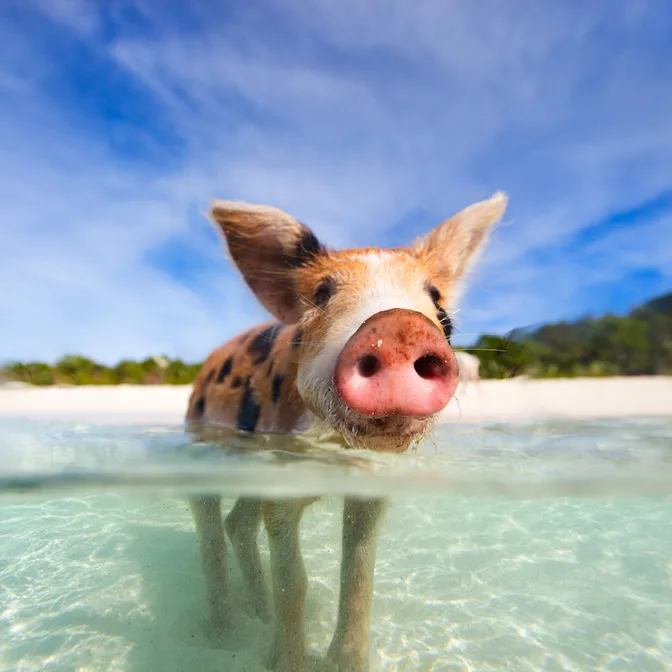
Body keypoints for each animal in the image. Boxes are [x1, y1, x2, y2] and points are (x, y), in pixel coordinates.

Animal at [186, 193, 507, 671]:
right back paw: (223, 637)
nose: (398, 325)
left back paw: (258, 613)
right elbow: (295, 583)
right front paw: (287, 663)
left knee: (237, 524)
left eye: (437, 302)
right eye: (322, 293)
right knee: (211, 533)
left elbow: (358, 576)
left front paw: (345, 662)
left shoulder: (370, 487)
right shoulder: (281, 479)